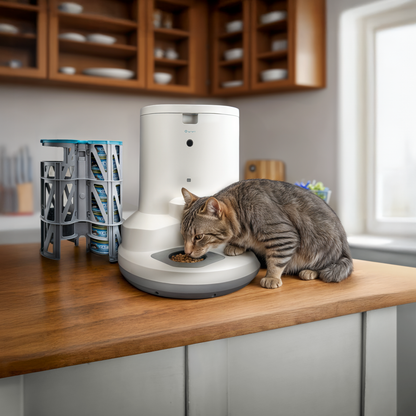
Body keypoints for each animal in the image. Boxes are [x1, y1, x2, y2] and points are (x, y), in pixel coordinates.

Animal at [180, 179, 352, 290]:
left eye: (198, 237)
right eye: (183, 234)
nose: (187, 252)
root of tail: (346, 252)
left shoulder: (283, 236)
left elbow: (276, 261)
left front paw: (271, 277)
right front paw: (235, 246)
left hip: (323, 247)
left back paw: (310, 271)